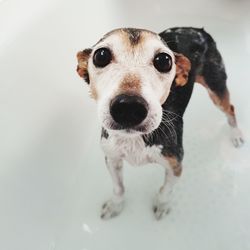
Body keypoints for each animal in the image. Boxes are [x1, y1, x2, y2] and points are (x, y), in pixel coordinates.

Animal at [76, 26, 244, 220]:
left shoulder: (175, 166)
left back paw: (236, 135)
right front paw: (115, 205)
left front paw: (162, 205)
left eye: (164, 60)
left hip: (216, 86)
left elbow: (165, 190)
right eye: (101, 56)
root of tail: (197, 29)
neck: (134, 140)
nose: (128, 107)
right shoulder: (112, 159)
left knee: (230, 108)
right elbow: (118, 187)